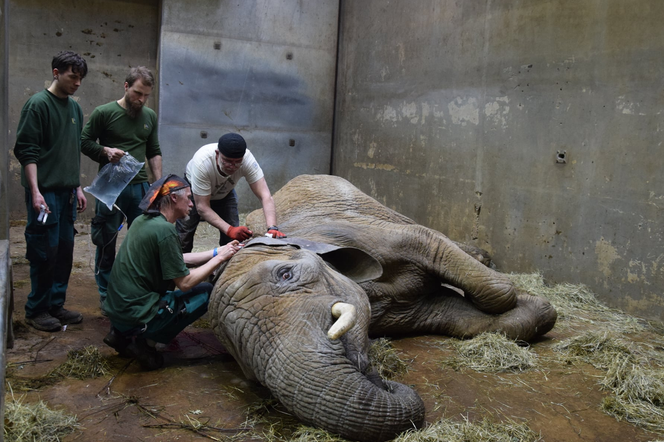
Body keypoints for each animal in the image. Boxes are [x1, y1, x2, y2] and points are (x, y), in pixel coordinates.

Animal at [209, 174, 556, 442]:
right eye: (240, 352)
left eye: (285, 275)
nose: (381, 379)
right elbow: (456, 315)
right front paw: (535, 308)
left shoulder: (358, 231)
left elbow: (431, 244)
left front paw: (529, 298)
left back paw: (482, 257)